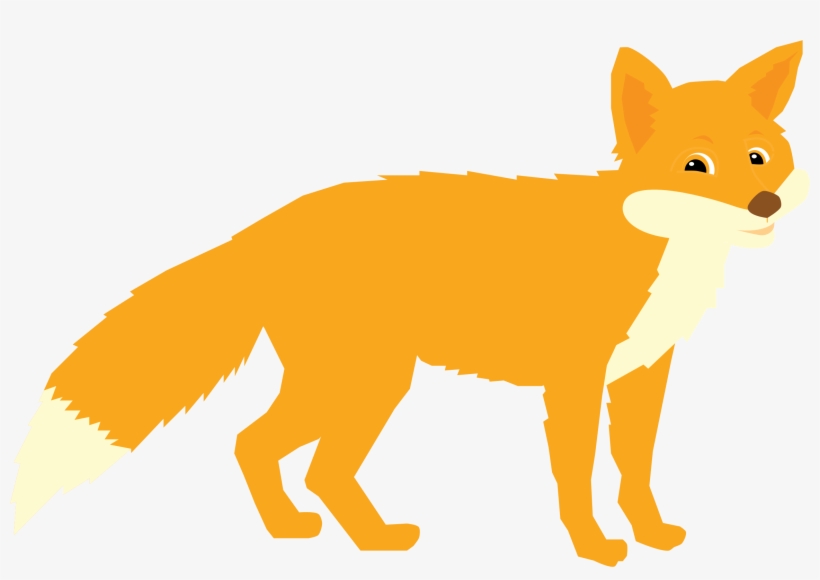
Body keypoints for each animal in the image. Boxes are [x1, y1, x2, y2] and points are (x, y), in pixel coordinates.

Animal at [11, 41, 808, 567]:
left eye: (759, 157)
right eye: (695, 165)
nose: (764, 203)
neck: (659, 248)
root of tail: (263, 226)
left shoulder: (643, 378)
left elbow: (636, 471)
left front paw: (652, 535)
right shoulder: (575, 386)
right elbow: (578, 478)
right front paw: (593, 547)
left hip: (353, 386)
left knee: (263, 448)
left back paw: (311, 534)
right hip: (369, 384)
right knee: (297, 459)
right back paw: (363, 540)